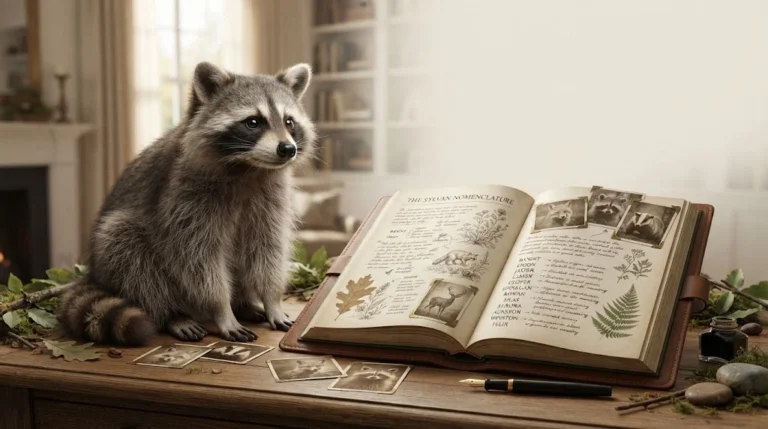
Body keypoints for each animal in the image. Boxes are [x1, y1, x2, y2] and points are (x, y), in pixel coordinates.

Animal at [56, 62, 317, 346]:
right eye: (253, 122)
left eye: (289, 121)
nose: (287, 149)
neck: (248, 167)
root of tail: (94, 274)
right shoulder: (184, 198)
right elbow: (198, 260)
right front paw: (221, 309)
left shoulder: (271, 199)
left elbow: (267, 249)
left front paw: (271, 300)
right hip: (116, 249)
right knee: (129, 252)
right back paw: (172, 313)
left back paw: (244, 304)